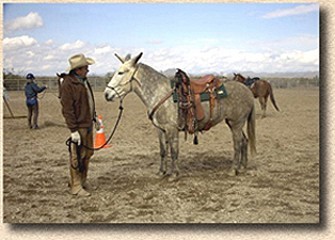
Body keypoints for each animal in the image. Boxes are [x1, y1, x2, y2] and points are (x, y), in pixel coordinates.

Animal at [105, 52, 258, 176]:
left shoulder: (171, 129)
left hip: (236, 123)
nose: (107, 94)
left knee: (238, 144)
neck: (159, 92)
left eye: (121, 72)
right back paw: (242, 167)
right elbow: (163, 151)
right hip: (235, 123)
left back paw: (233, 170)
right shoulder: (160, 129)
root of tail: (247, 90)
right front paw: (161, 172)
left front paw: (174, 174)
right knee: (244, 141)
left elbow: (174, 151)